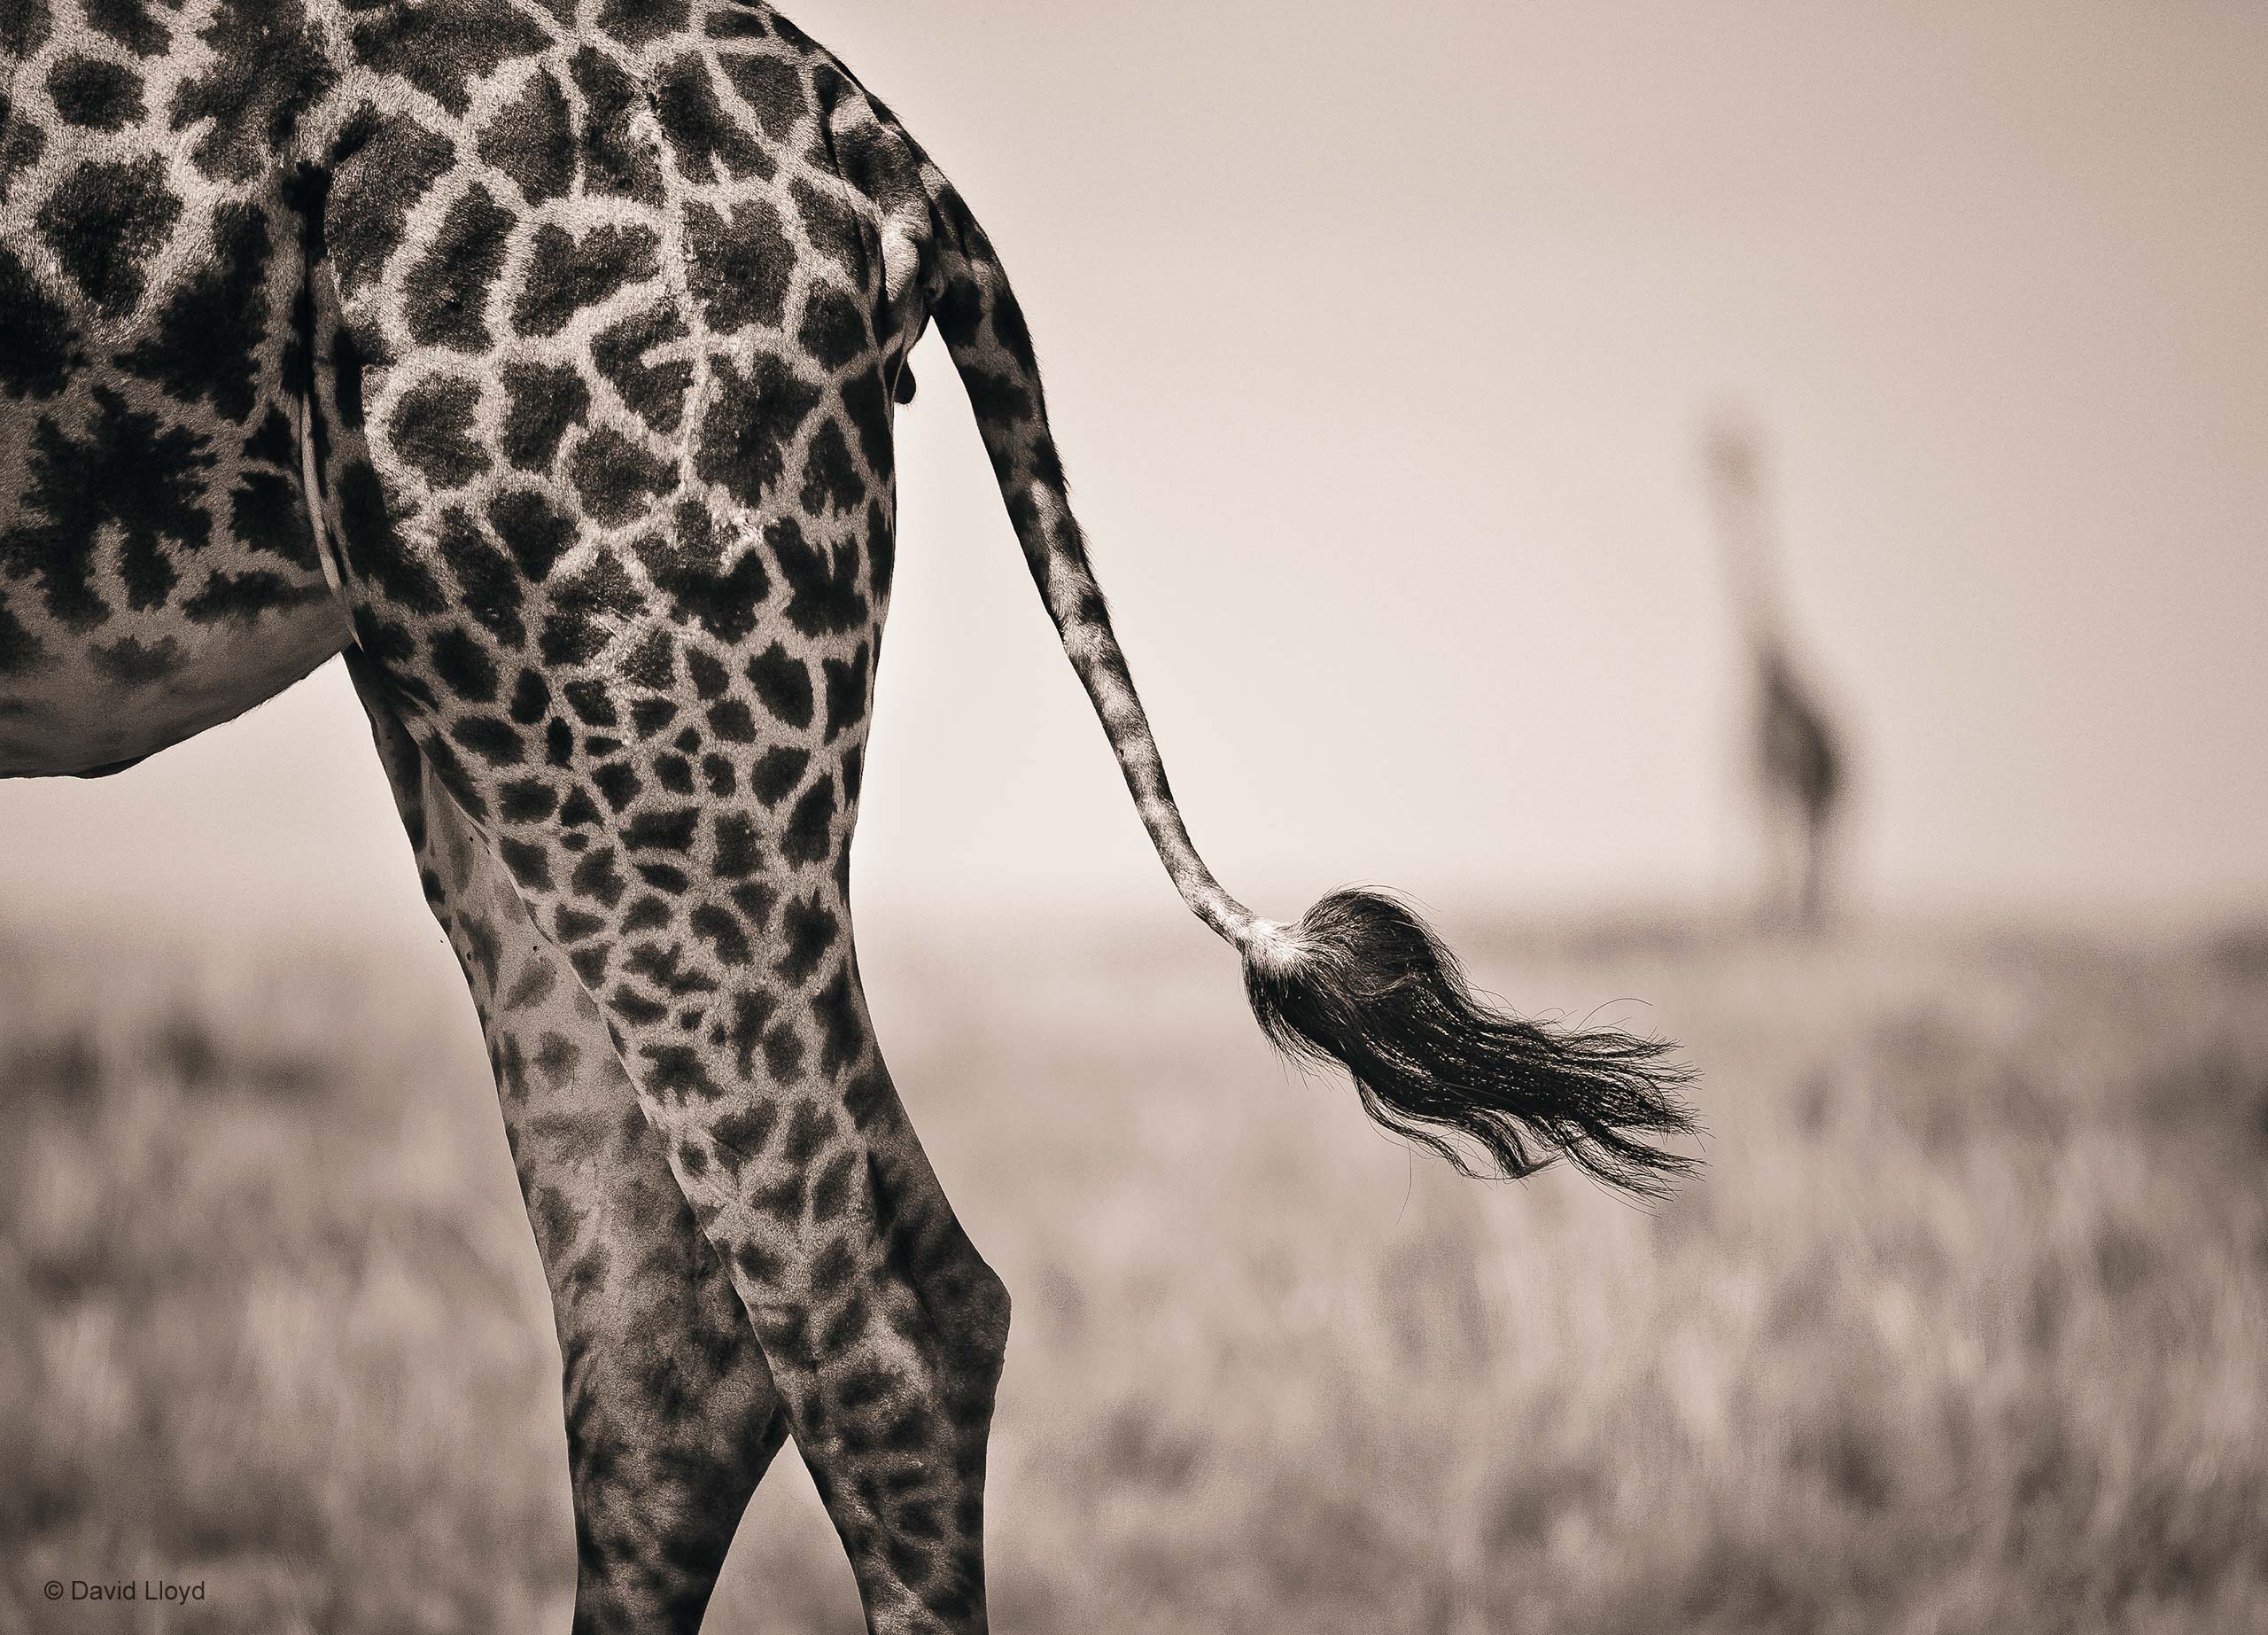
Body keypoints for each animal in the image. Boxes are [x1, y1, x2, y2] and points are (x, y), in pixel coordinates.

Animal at [1705, 415, 1850, 930]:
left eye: (1732, 454)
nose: (1698, 458)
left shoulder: (1747, 778)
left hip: (1806, 802)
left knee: (1802, 881)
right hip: (1827, 808)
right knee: (1817, 885)